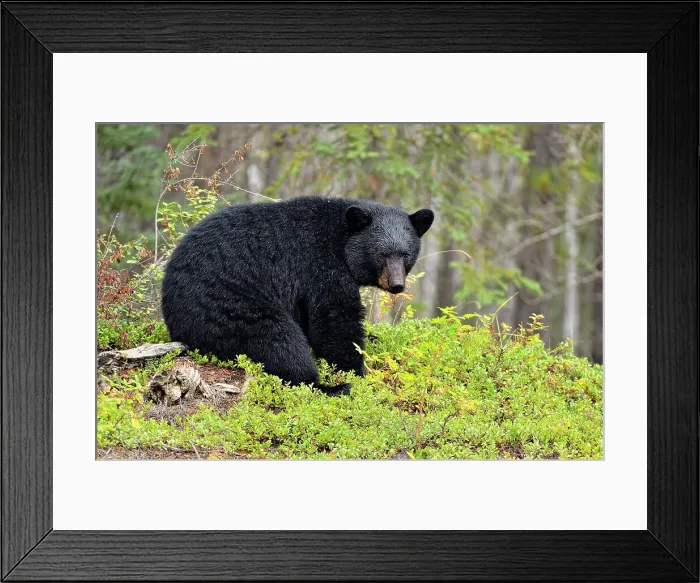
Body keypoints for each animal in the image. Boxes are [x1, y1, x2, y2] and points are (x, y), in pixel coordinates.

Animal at [161, 196, 434, 396]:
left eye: (405, 254)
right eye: (382, 254)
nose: (397, 285)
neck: (341, 239)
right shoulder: (320, 265)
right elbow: (333, 320)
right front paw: (355, 370)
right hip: (229, 307)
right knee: (278, 341)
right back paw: (328, 387)